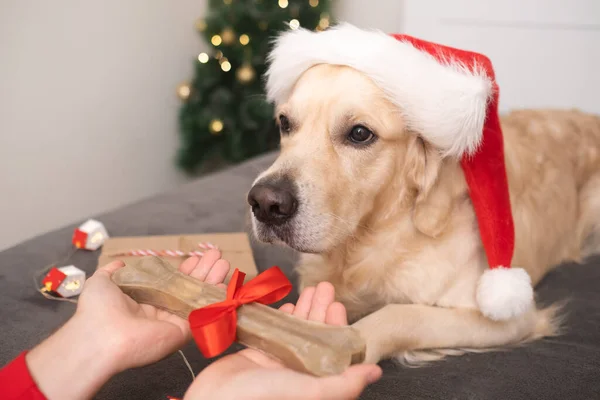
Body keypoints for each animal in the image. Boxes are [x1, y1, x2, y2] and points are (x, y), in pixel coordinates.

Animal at [245, 23, 600, 364]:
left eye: (360, 133)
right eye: (285, 123)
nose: (264, 203)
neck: (372, 239)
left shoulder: (509, 318)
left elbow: (399, 314)